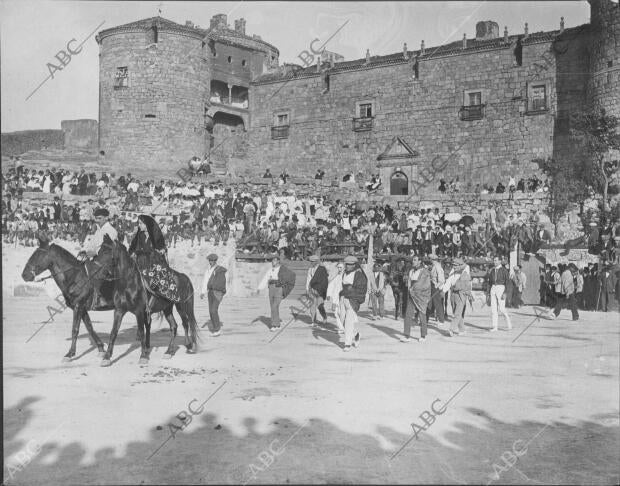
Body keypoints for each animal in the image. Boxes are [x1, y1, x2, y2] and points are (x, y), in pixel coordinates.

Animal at [93, 234, 199, 364]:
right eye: (100, 251)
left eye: (107, 252)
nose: (95, 272)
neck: (128, 284)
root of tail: (183, 276)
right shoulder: (119, 311)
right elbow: (113, 333)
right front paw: (107, 357)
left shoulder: (139, 312)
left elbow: (142, 332)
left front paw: (143, 356)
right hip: (167, 308)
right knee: (174, 326)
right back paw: (169, 351)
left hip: (181, 305)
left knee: (186, 322)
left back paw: (188, 345)